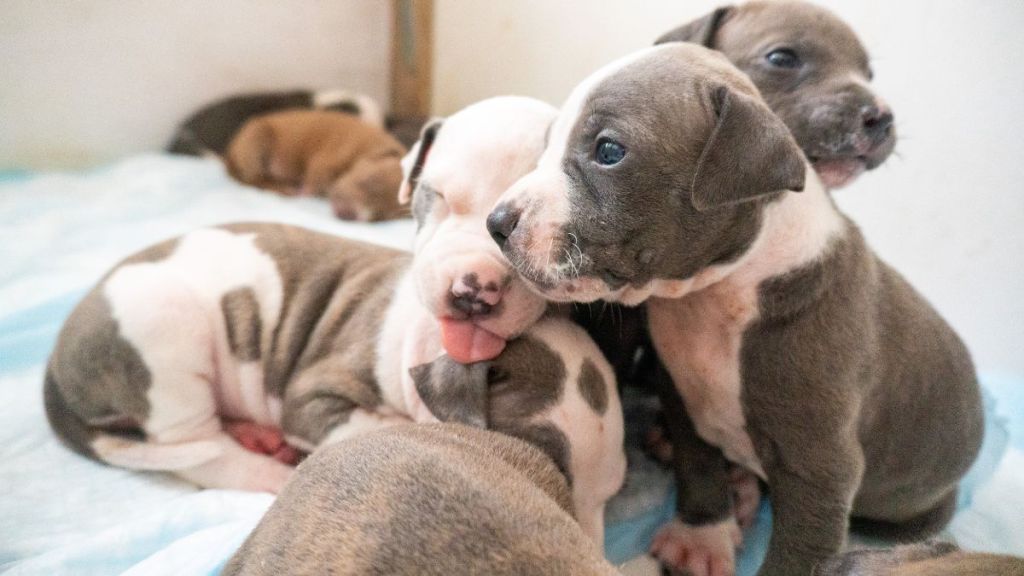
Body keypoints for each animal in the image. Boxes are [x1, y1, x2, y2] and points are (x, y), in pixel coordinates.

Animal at [227, 109, 407, 219]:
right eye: (367, 182)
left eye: (381, 215)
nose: (348, 214)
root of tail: (230, 155)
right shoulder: (325, 160)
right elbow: (316, 179)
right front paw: (307, 190)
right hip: (257, 138)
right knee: (255, 179)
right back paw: (284, 188)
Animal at [487, 43, 983, 573]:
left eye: (609, 151)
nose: (496, 222)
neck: (716, 292)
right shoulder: (682, 393)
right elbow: (698, 465)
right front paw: (701, 536)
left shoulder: (820, 470)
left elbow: (798, 554)